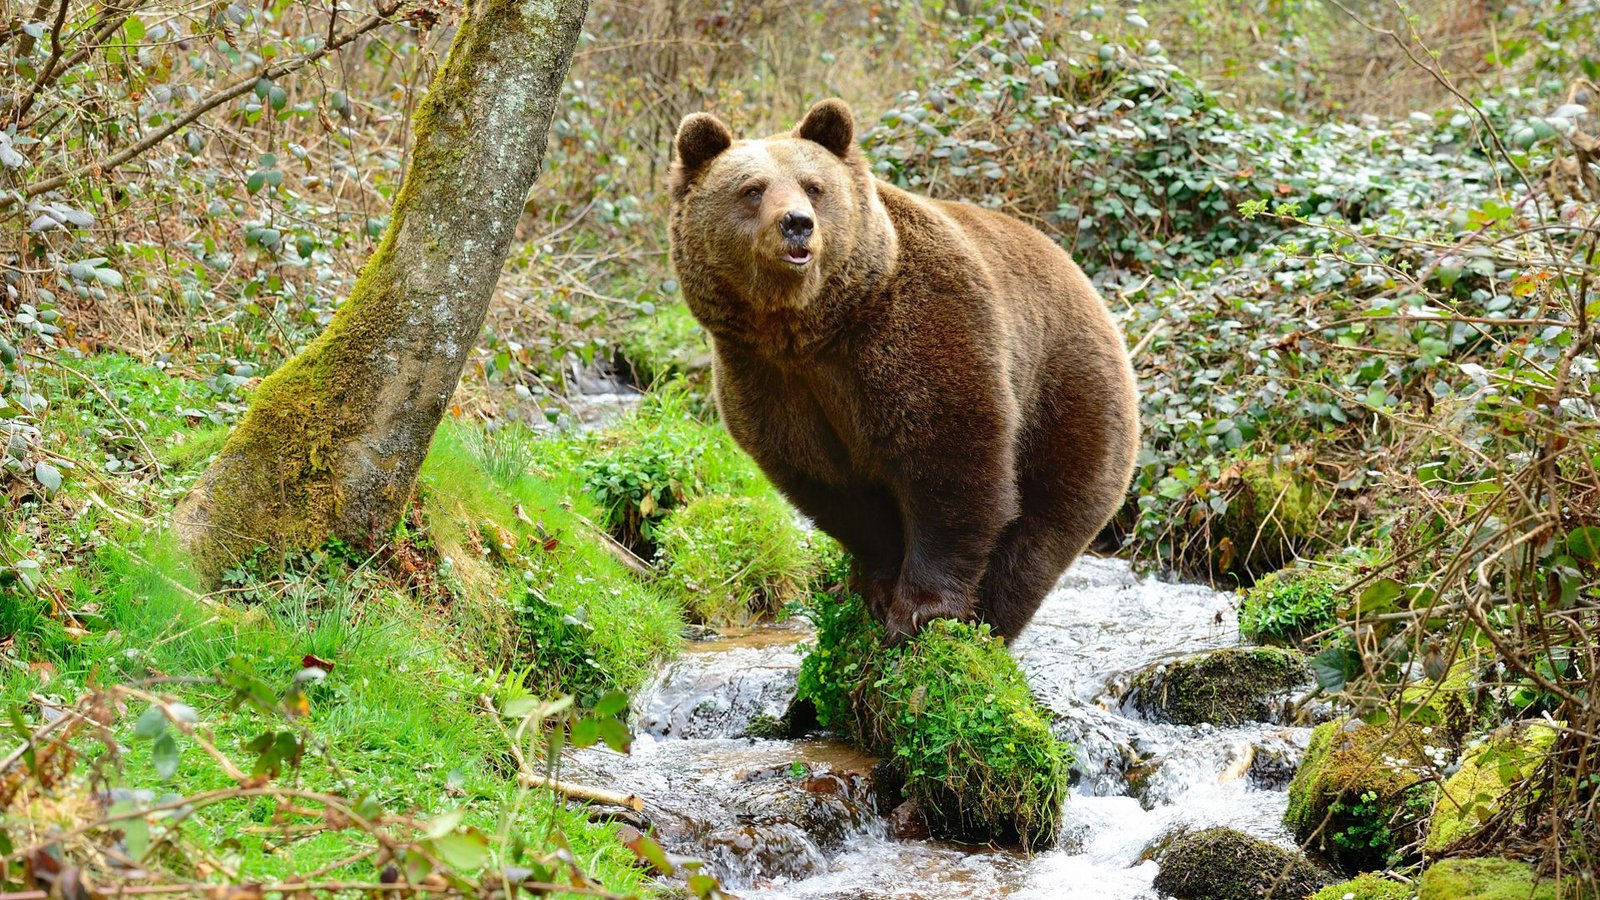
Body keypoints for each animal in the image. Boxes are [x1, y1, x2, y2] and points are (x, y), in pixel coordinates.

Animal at [666, 98, 1139, 643]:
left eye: (813, 186)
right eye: (752, 189)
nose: (797, 223)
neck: (810, 328)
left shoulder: (918, 334)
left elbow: (951, 467)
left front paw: (920, 612)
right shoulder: (770, 379)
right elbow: (838, 492)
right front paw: (874, 590)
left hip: (1067, 397)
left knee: (1040, 531)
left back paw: (991, 620)